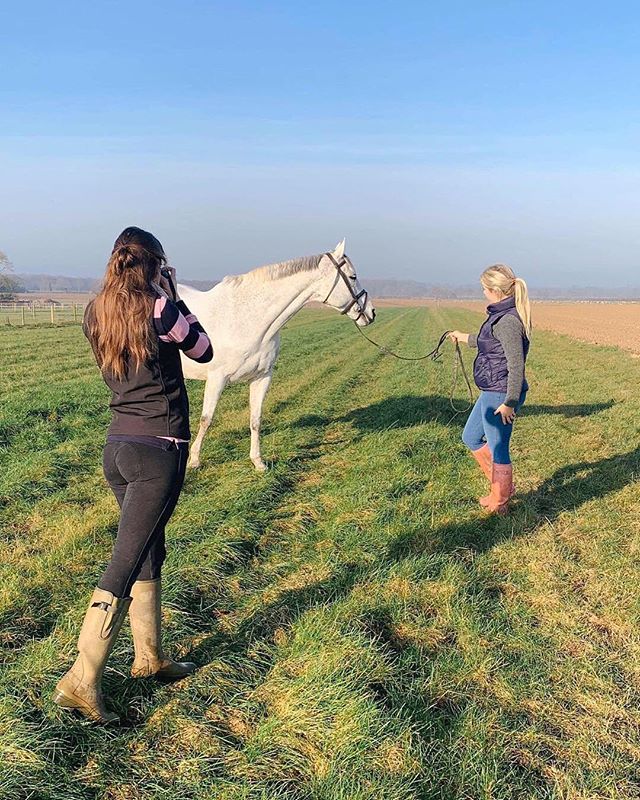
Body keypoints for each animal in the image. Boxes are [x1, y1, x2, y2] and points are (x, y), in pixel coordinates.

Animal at [178, 241, 376, 472]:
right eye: (353, 276)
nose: (371, 313)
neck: (249, 318)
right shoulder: (217, 378)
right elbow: (206, 419)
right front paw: (194, 461)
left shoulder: (262, 377)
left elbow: (256, 419)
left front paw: (258, 462)